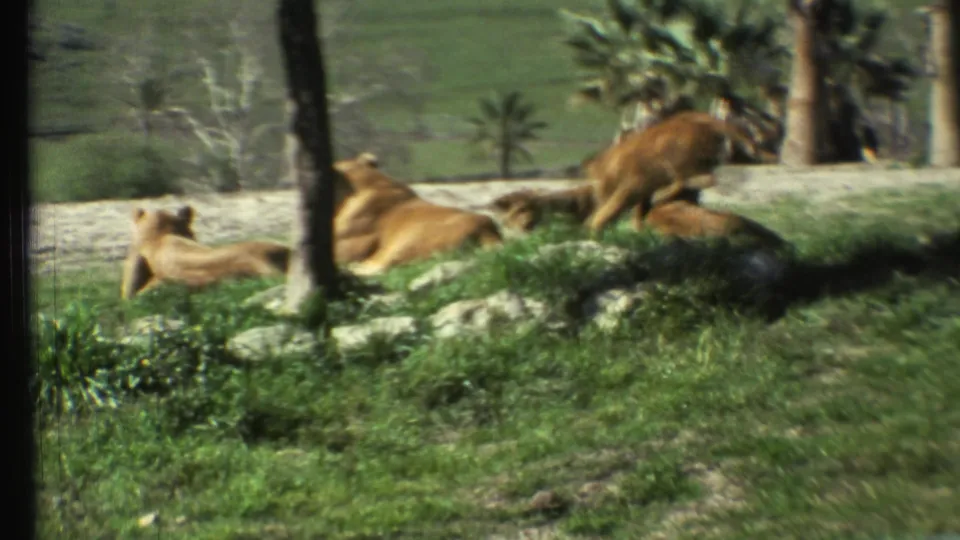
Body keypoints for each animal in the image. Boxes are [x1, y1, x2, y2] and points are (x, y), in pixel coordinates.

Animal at [583, 110, 779, 236]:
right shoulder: (638, 192)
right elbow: (634, 215)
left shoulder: (634, 185)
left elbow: (604, 215)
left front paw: (593, 229)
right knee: (703, 181)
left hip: (679, 163)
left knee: (699, 180)